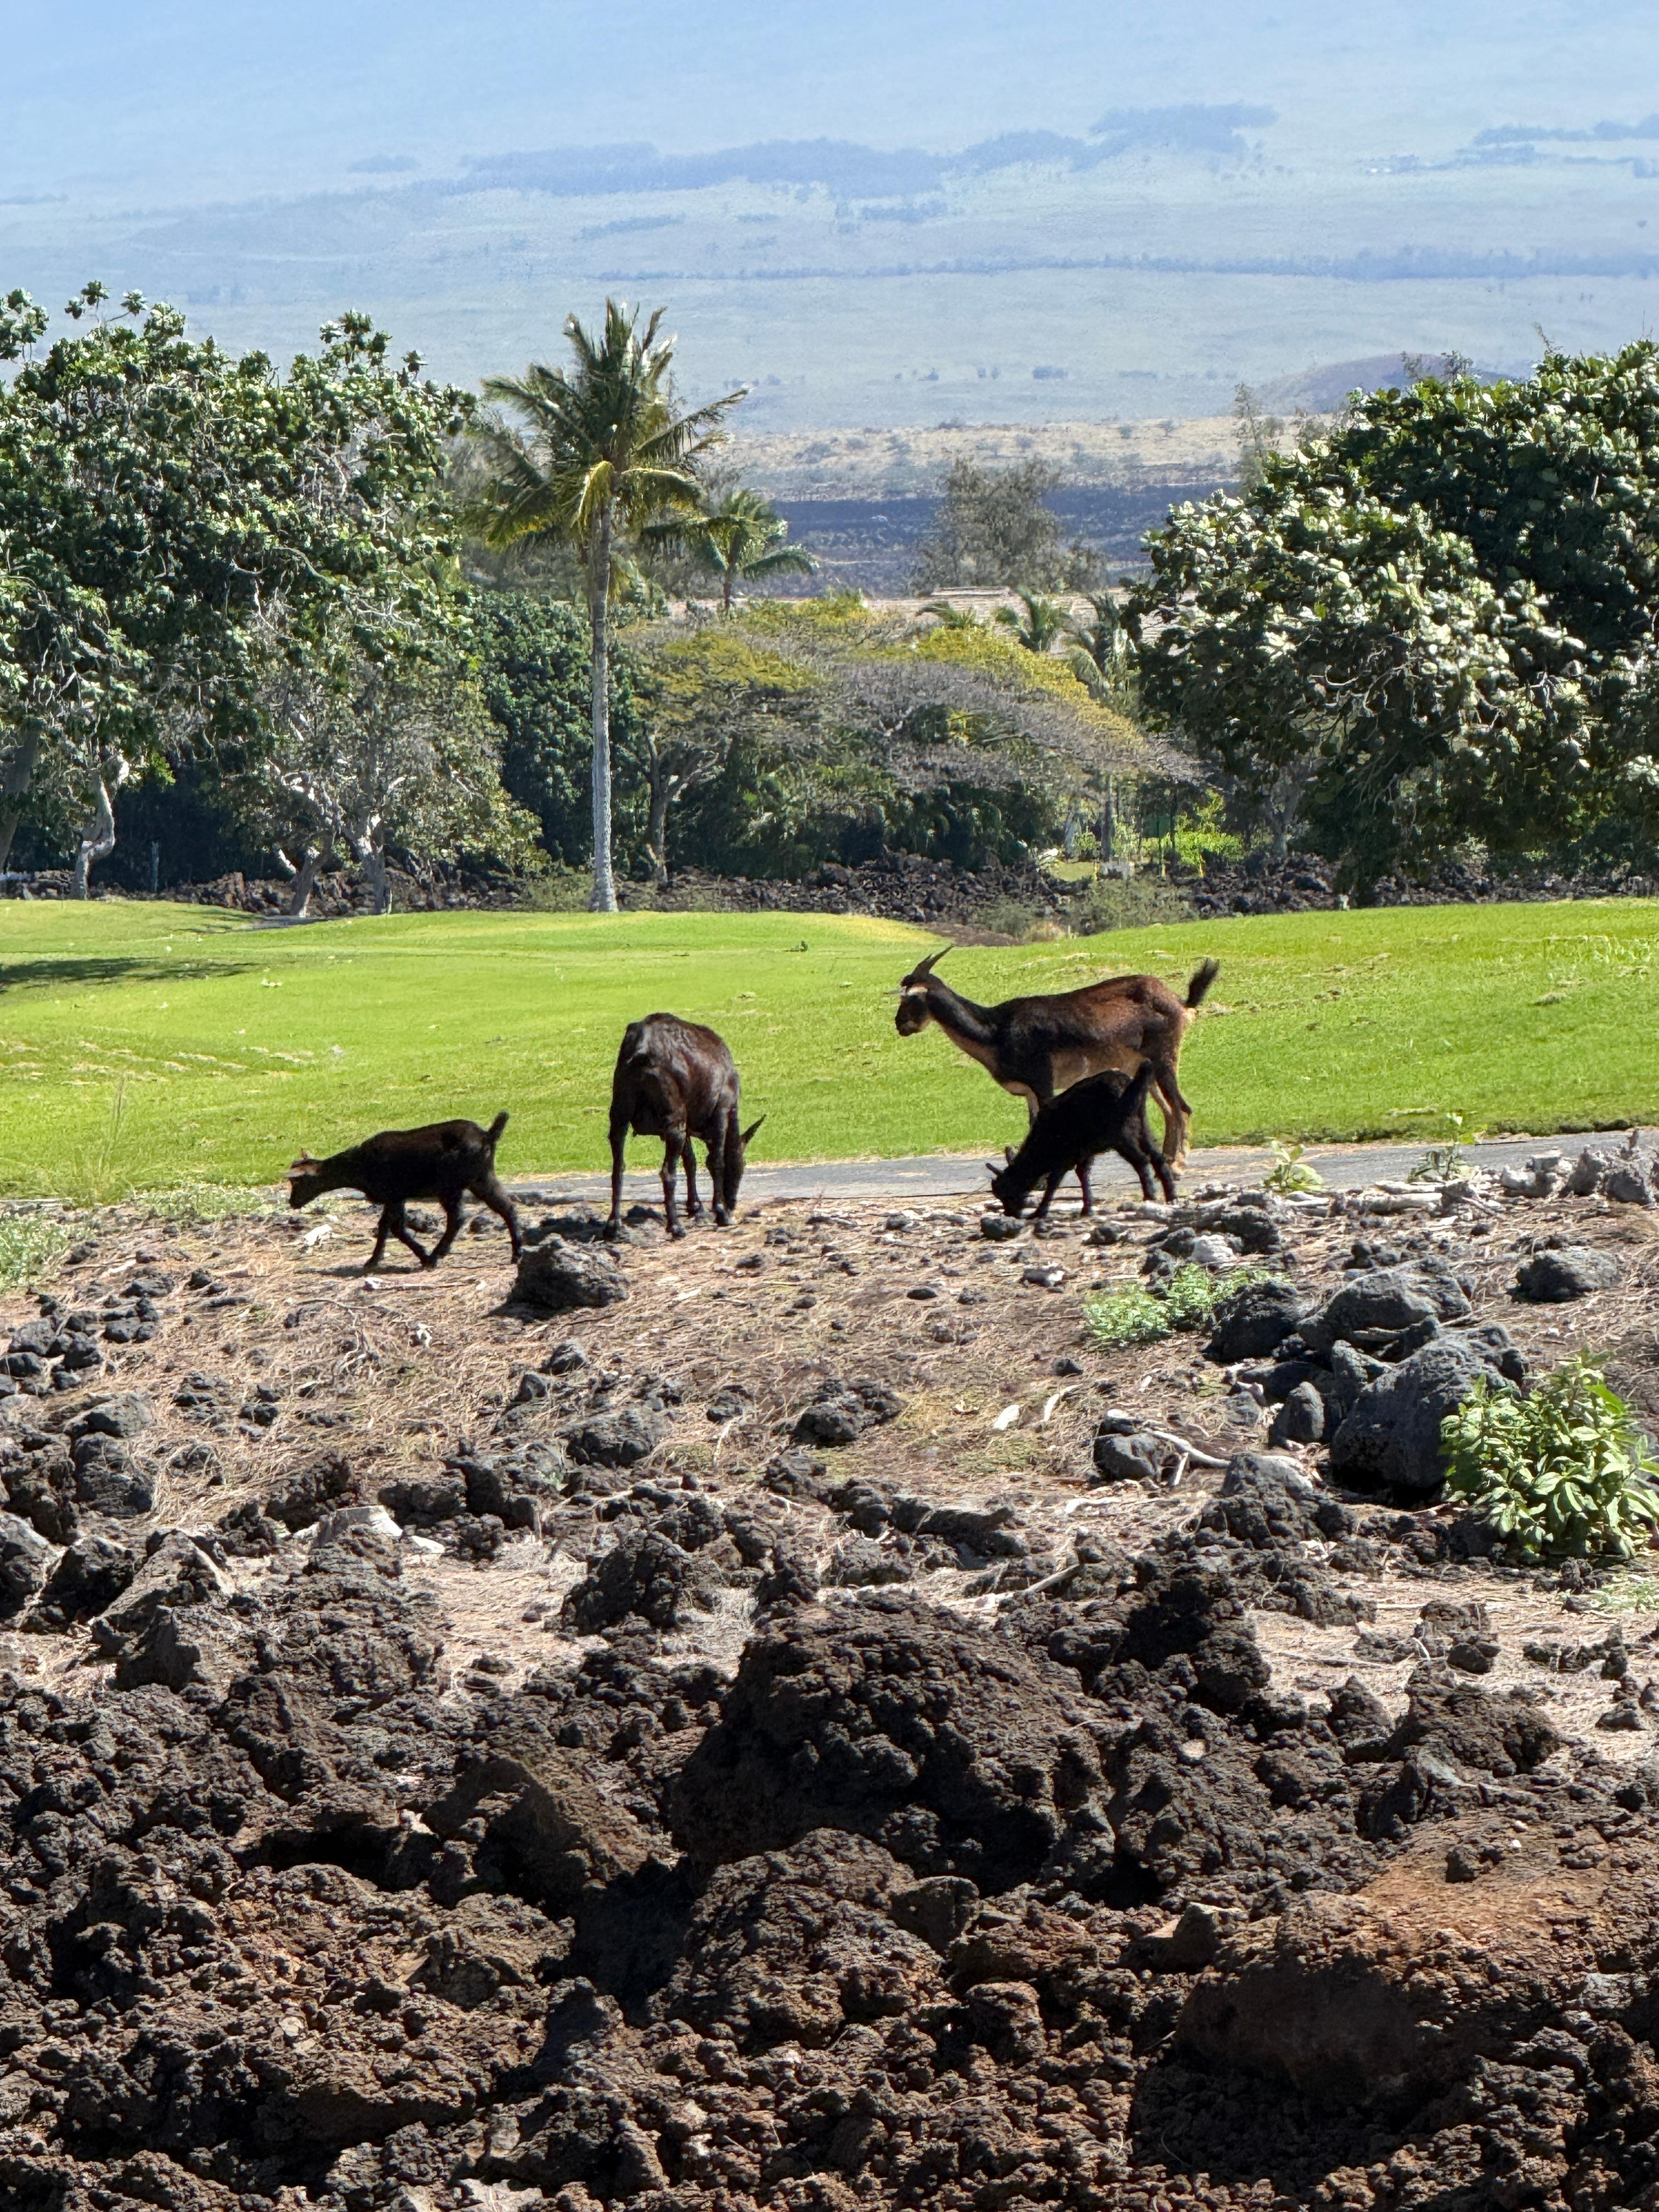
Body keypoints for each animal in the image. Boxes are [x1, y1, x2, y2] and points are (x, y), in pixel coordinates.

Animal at [288, 1113, 522, 1272]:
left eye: (297, 1182)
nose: (292, 1202)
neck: (359, 1167)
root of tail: (488, 1136)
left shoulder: (394, 1194)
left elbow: (394, 1228)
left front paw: (421, 1257)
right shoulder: (395, 1197)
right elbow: (388, 1226)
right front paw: (375, 1260)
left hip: (451, 1184)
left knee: (457, 1218)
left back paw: (437, 1255)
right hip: (481, 1177)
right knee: (507, 1207)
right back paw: (516, 1254)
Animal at [607, 1013, 763, 1240]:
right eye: (741, 1166)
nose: (732, 1203)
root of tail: (640, 1050)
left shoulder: (686, 1124)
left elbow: (691, 1161)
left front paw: (695, 1206)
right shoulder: (722, 1109)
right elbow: (715, 1161)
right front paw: (720, 1211)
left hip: (619, 1111)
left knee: (618, 1167)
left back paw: (614, 1224)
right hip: (673, 1115)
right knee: (667, 1172)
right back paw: (675, 1226)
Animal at [895, 945, 1218, 1166]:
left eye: (910, 998)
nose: (900, 1025)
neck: (997, 1030)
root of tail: (1179, 1002)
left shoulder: (1043, 1079)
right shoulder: (1029, 1092)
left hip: (1165, 1055)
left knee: (1182, 1108)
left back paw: (1177, 1165)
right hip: (1145, 1066)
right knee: (1169, 1110)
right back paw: (1166, 1160)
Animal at [990, 1063, 1175, 1217]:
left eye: (1007, 1194)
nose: (1009, 1214)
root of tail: (1128, 1082)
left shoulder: (1064, 1154)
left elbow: (1054, 1182)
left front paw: (1040, 1212)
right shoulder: (1083, 1152)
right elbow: (1083, 1174)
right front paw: (1087, 1209)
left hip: (1120, 1132)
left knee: (1142, 1160)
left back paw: (1150, 1196)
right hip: (1141, 1123)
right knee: (1157, 1157)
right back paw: (1171, 1197)